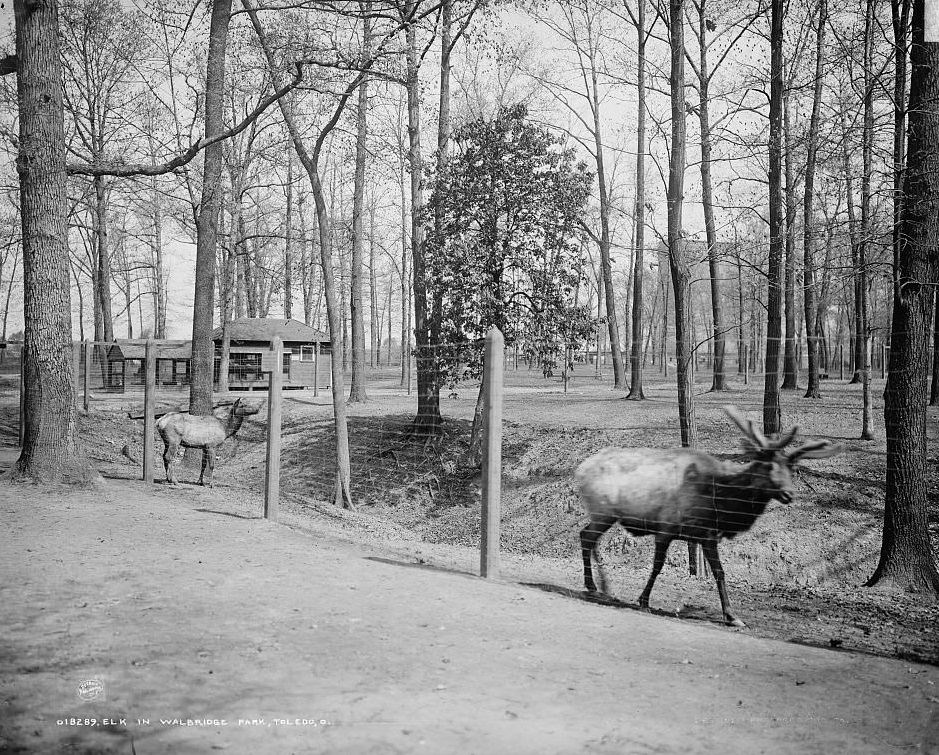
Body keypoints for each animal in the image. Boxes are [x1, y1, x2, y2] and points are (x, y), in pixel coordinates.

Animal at [576, 404, 840, 628]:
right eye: (767, 465)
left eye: (791, 468)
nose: (788, 494)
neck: (720, 502)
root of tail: (580, 469)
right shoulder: (667, 528)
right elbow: (658, 565)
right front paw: (643, 600)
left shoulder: (707, 534)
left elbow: (720, 571)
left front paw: (732, 616)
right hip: (604, 511)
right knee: (586, 535)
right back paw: (594, 585)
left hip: (604, 515)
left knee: (588, 536)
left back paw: (601, 585)